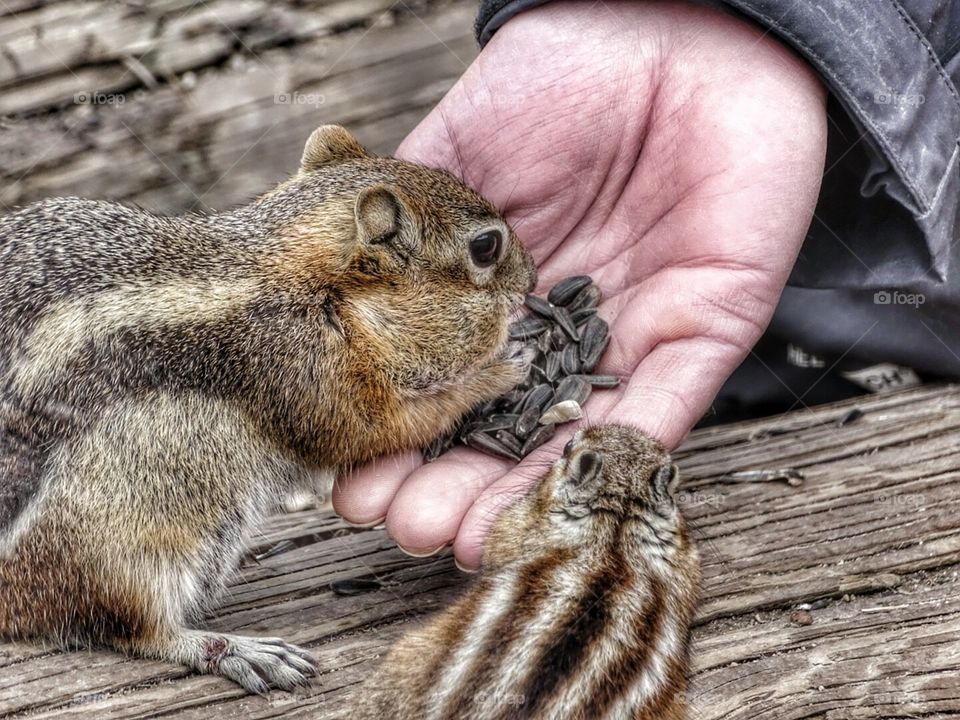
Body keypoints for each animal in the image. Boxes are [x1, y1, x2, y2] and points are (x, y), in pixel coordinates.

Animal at [0, 126, 540, 696]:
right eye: (485, 247)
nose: (532, 278)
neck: (307, 283)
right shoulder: (307, 376)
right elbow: (379, 429)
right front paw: (502, 369)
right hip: (127, 540)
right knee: (132, 627)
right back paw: (239, 651)